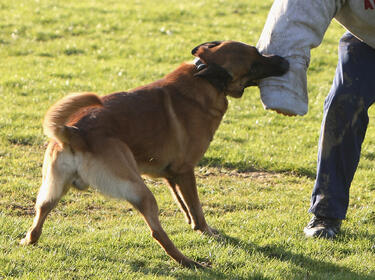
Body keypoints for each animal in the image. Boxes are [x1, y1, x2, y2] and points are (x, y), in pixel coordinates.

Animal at [20, 41, 290, 266]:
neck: (204, 79)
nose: (284, 60)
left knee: (40, 214)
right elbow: (197, 208)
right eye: (256, 61)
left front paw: (192, 224)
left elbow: (184, 205)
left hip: (53, 189)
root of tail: (75, 132)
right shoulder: (185, 171)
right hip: (140, 191)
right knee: (157, 232)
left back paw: (28, 240)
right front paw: (207, 231)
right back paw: (188, 262)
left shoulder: (171, 175)